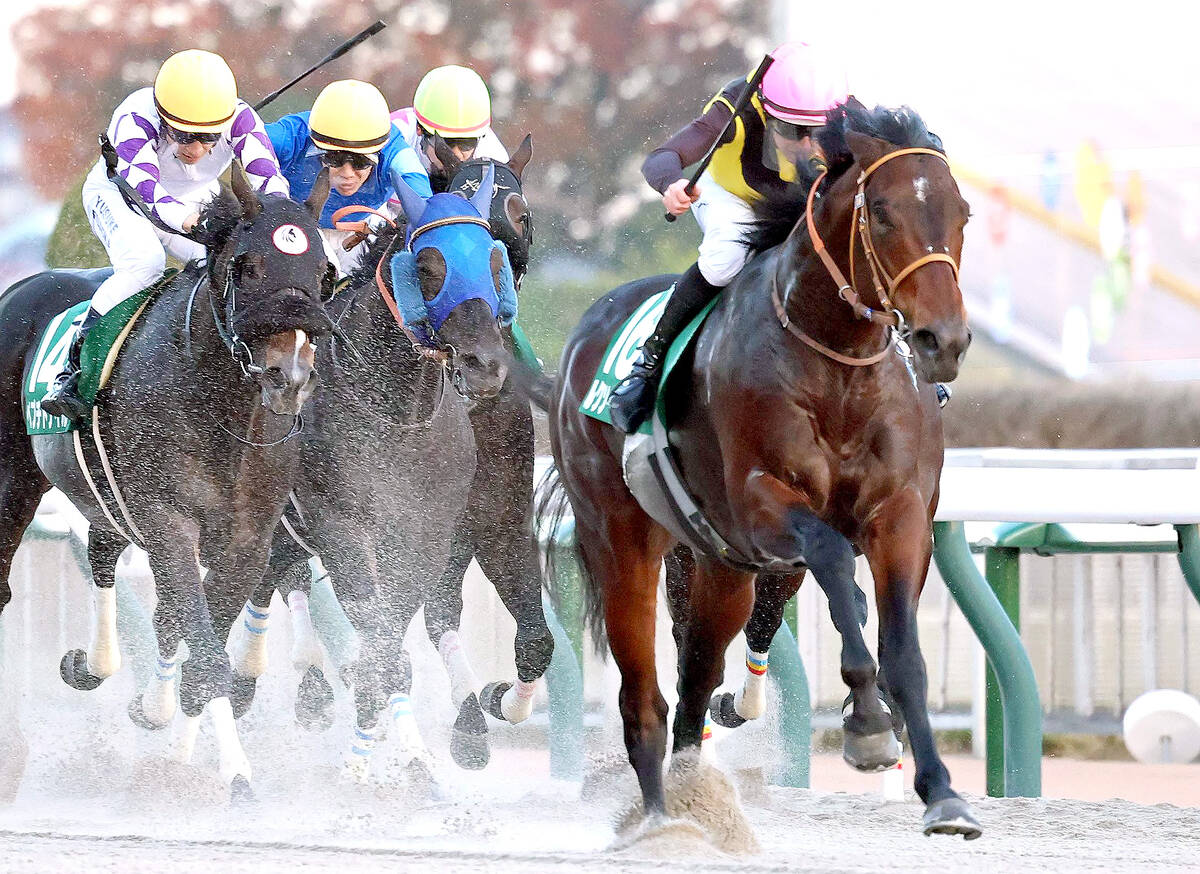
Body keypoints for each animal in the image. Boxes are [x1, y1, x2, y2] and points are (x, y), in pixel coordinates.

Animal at [0, 165, 333, 800]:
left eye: (322, 271)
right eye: (247, 266)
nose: (289, 374)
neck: (215, 406)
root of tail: (18, 288)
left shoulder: (245, 541)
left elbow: (196, 638)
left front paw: (174, 741)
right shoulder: (168, 521)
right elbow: (199, 644)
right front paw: (235, 773)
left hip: (102, 496)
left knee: (103, 556)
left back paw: (94, 666)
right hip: (13, 482)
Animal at [535, 100, 980, 839]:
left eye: (961, 212)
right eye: (882, 213)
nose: (942, 340)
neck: (837, 368)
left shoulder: (902, 515)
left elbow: (903, 652)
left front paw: (942, 793)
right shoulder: (759, 506)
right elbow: (831, 555)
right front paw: (865, 723)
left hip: (720, 569)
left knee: (693, 685)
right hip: (621, 539)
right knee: (644, 700)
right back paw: (661, 822)